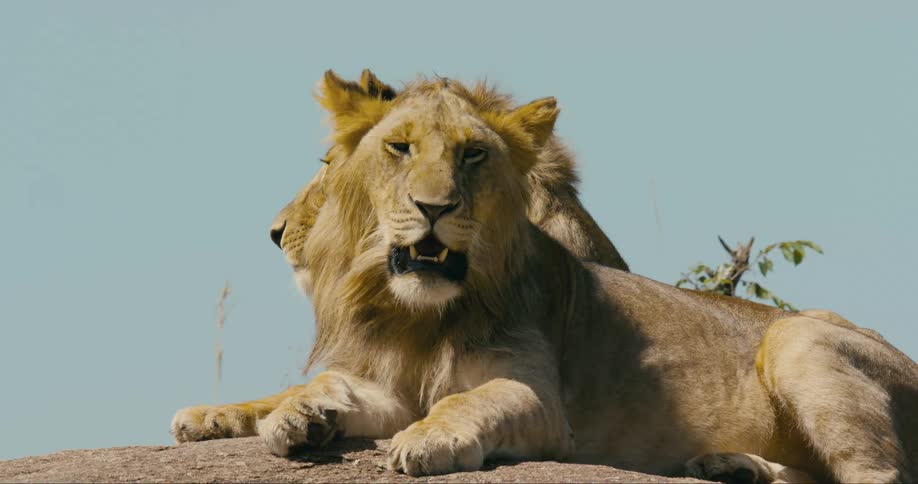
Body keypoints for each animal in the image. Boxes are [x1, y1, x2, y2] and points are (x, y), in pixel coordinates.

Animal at [173, 71, 917, 482]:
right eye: (400, 148)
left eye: (472, 155)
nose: (434, 207)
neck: (421, 314)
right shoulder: (384, 385)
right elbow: (318, 387)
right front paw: (299, 415)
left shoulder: (538, 400)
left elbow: (468, 402)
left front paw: (426, 440)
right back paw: (728, 466)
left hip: (800, 340)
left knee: (880, 474)